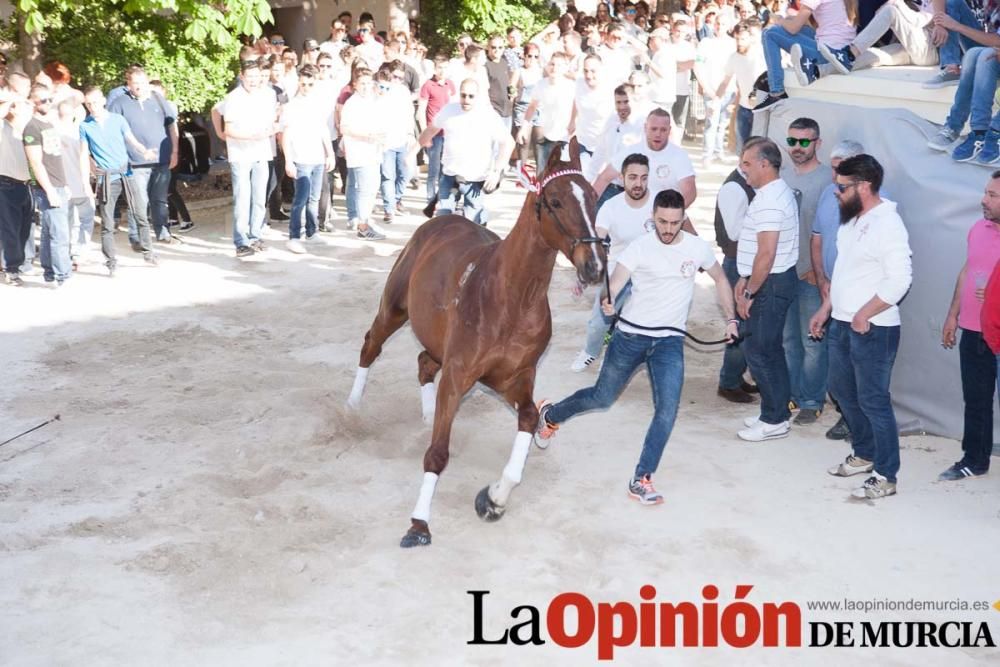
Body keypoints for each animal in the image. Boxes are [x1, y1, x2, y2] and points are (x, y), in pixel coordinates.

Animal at [348, 140, 604, 548]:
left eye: (594, 198)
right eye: (555, 201)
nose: (594, 266)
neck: (511, 297)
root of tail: (438, 221)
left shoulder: (514, 378)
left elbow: (530, 418)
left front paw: (494, 499)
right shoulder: (459, 374)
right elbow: (437, 454)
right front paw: (418, 524)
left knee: (424, 362)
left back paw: (426, 413)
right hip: (394, 310)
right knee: (371, 345)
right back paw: (354, 404)